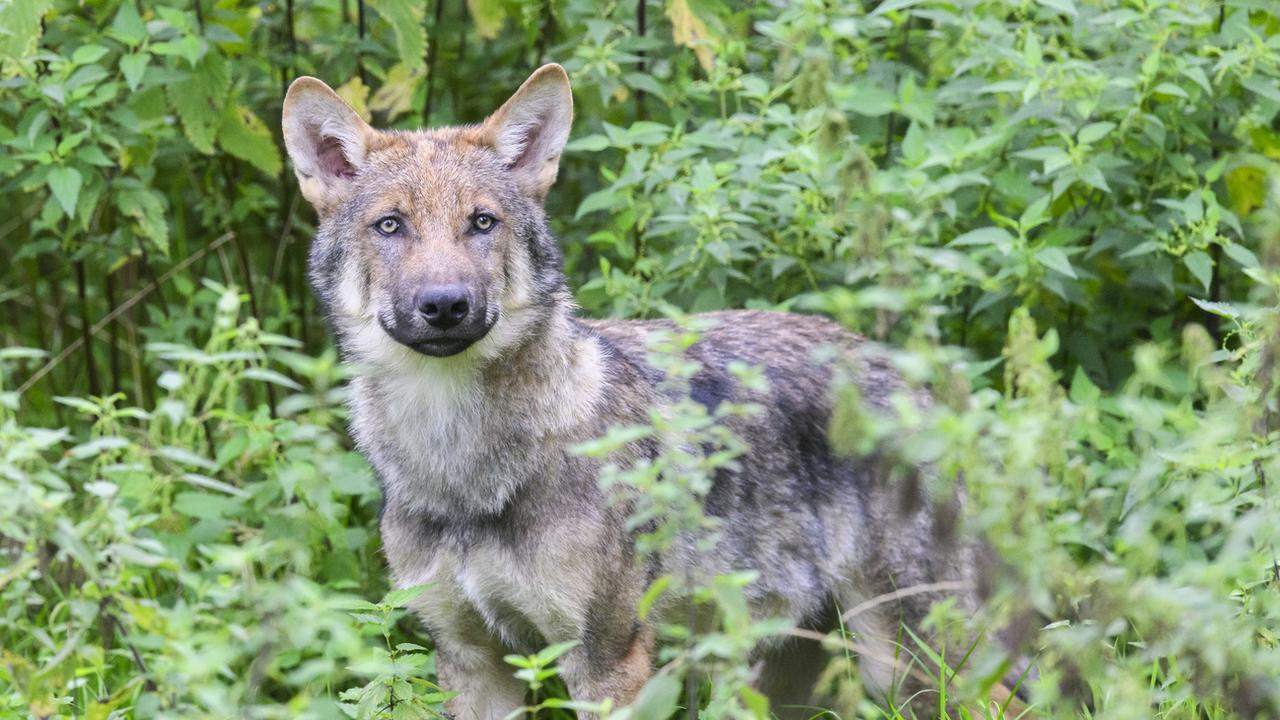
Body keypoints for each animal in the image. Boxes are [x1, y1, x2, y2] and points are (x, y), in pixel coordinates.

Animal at [282, 64, 988, 712]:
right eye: (390, 225)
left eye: (481, 223)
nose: (445, 304)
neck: (460, 467)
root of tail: (910, 375)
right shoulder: (470, 661)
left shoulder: (606, 662)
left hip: (908, 663)